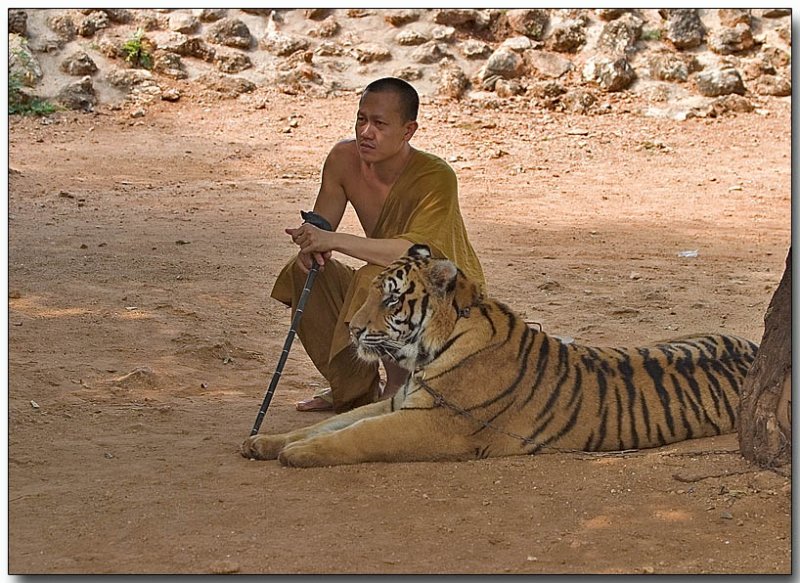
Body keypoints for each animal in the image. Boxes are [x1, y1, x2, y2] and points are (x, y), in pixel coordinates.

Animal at [241, 244, 760, 468]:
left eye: (390, 300)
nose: (351, 328)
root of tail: (754, 347)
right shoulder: (398, 402)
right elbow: (331, 423)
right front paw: (263, 442)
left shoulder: (434, 423)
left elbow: (356, 435)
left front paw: (297, 454)